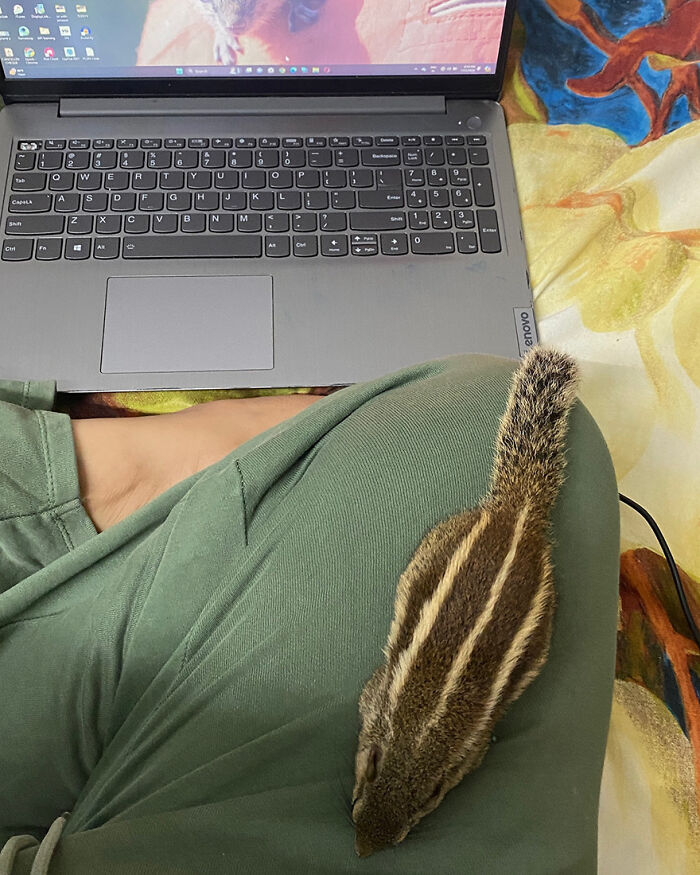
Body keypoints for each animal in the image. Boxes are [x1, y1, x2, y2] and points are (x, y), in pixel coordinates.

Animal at [352, 347, 580, 858]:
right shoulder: (378, 697)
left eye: (428, 800)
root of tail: (517, 513)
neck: (424, 729)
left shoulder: (470, 747)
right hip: (436, 544)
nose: (363, 850)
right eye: (370, 770)